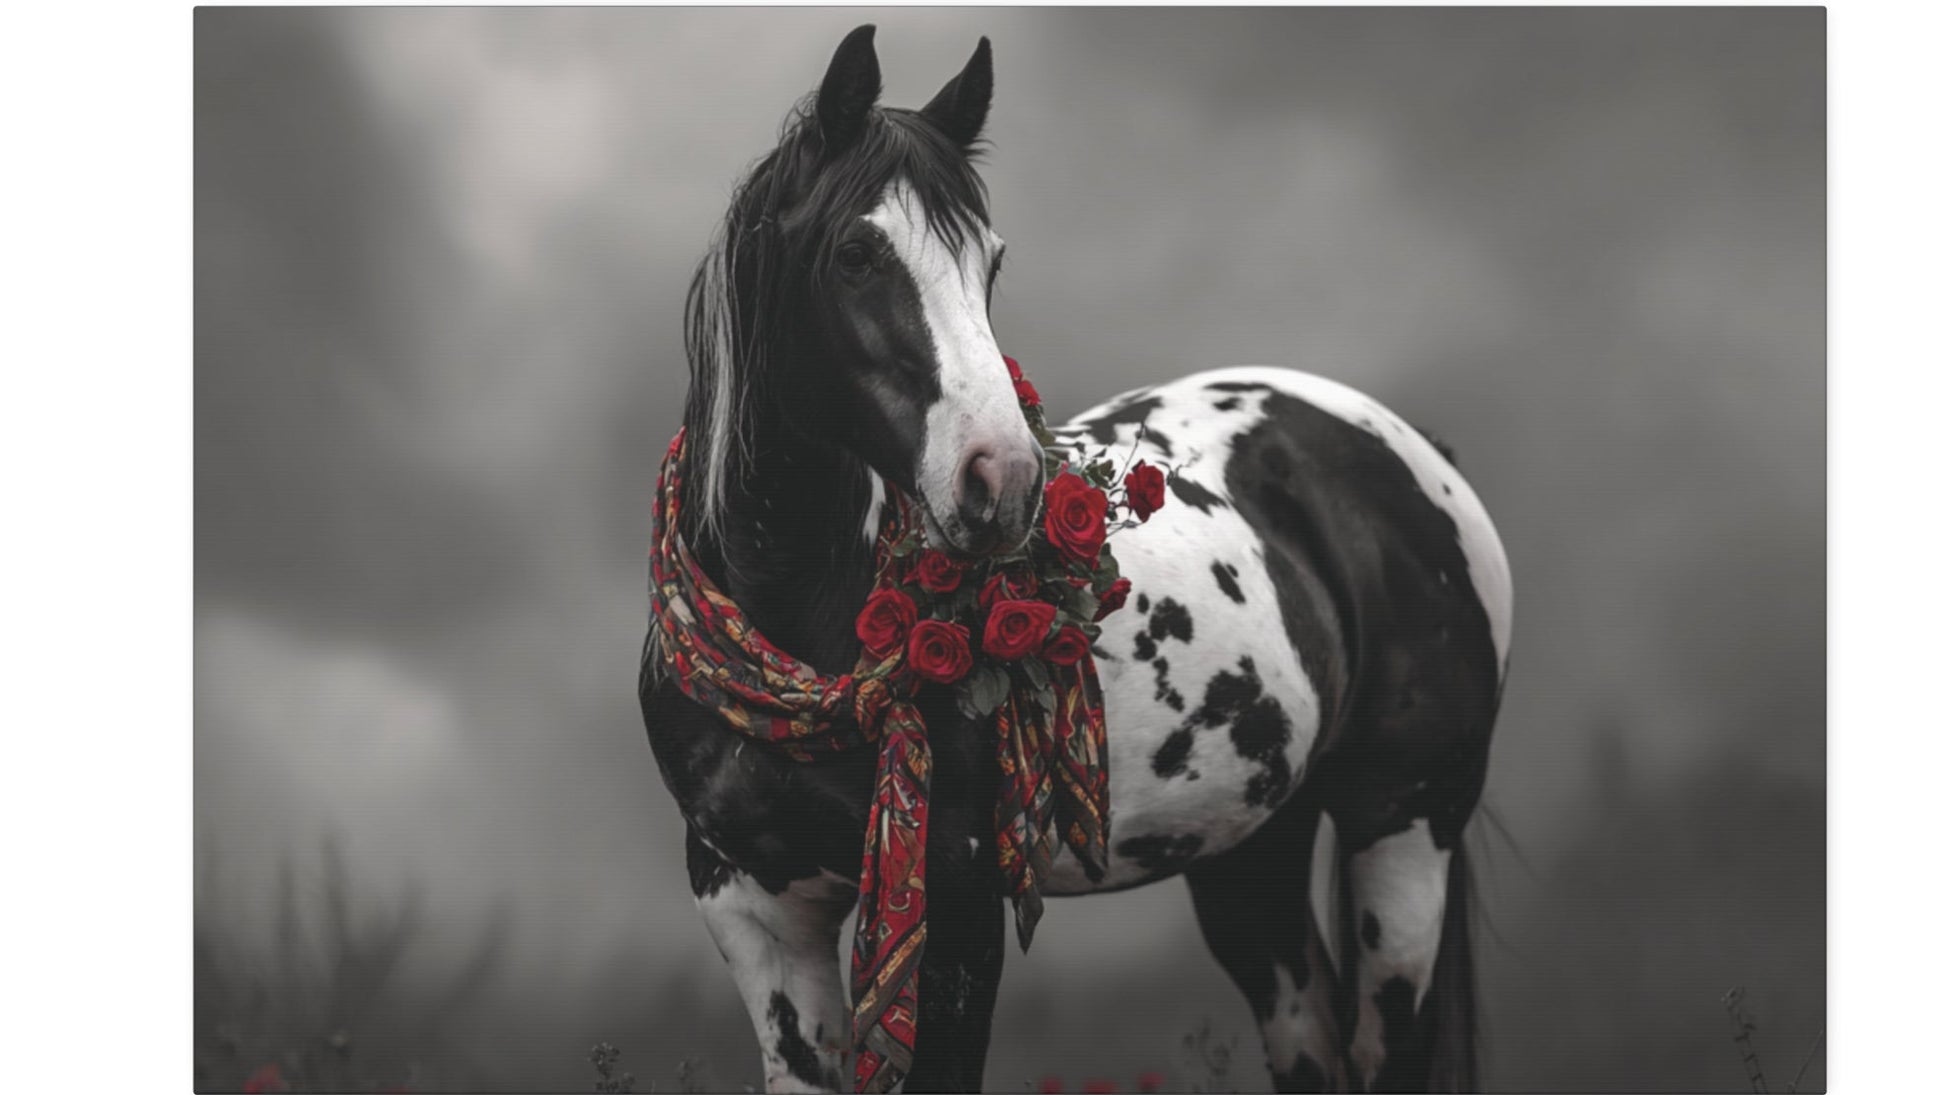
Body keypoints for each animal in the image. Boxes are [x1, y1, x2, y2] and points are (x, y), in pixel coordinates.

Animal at [639, 25, 1512, 1094]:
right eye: (854, 253)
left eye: (991, 261)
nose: (1003, 479)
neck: (794, 628)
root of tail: (1409, 445)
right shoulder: (756, 910)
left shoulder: (958, 904)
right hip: (1252, 853)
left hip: (1404, 834)